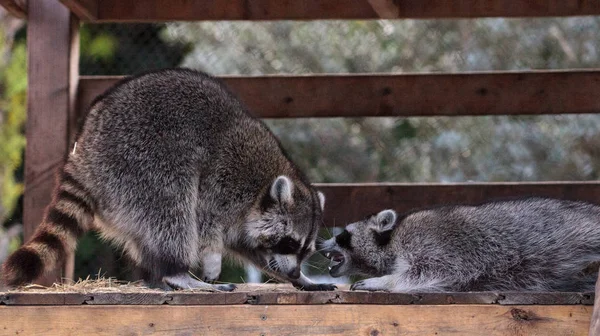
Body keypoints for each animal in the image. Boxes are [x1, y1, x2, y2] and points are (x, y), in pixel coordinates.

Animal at [2, 69, 336, 292]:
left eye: (305, 250)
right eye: (289, 242)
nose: (295, 273)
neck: (261, 187)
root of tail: (83, 152)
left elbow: (251, 248)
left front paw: (299, 278)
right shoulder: (225, 178)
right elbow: (204, 221)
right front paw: (211, 258)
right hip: (135, 159)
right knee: (171, 204)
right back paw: (178, 272)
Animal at [322, 197, 600, 292]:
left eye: (343, 235)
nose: (321, 244)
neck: (391, 240)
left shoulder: (430, 241)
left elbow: (434, 270)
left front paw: (385, 281)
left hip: (583, 229)